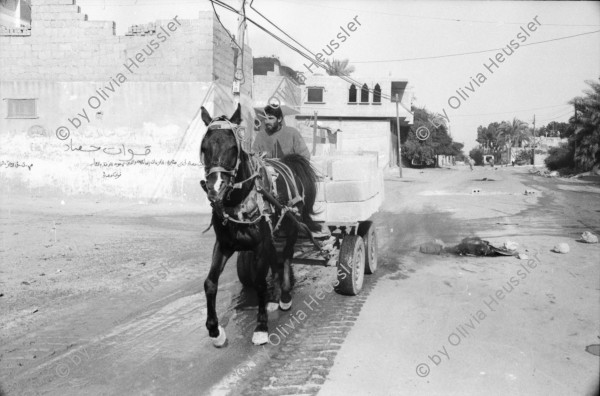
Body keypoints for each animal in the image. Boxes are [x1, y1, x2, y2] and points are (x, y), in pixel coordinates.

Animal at [198, 104, 322, 346]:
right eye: (204, 147)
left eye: (233, 147)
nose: (215, 190)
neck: (240, 200)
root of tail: (290, 162)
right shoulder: (224, 244)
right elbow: (210, 283)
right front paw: (215, 330)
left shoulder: (260, 245)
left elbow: (260, 283)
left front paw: (261, 328)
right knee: (277, 261)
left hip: (292, 226)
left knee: (285, 258)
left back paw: (284, 296)